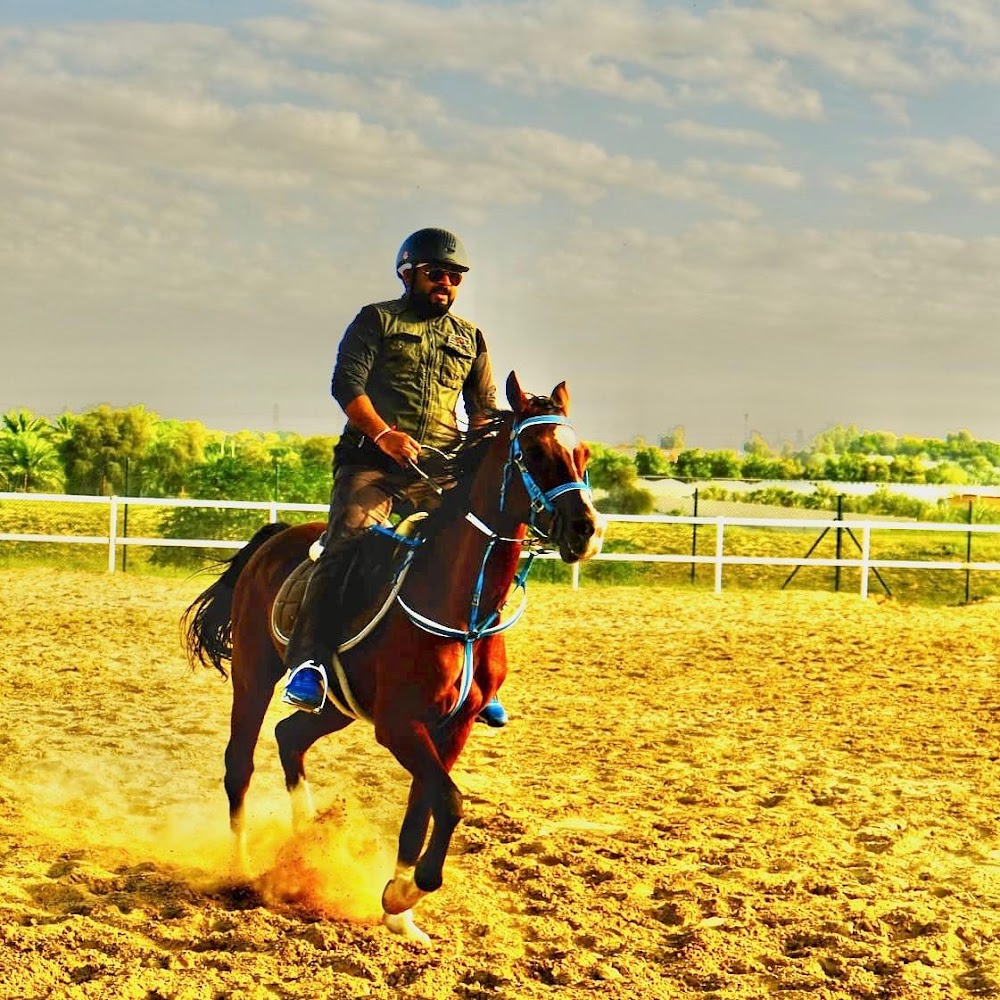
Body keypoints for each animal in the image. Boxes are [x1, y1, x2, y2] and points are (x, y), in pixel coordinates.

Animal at [182, 372, 605, 944]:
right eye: (534, 452)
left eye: (582, 453)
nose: (587, 529)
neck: (461, 607)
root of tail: (277, 537)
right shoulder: (400, 725)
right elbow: (449, 801)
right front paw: (406, 892)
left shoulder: (452, 727)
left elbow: (422, 808)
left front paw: (398, 910)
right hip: (253, 677)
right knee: (239, 765)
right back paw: (242, 869)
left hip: (337, 706)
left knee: (290, 736)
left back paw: (306, 838)